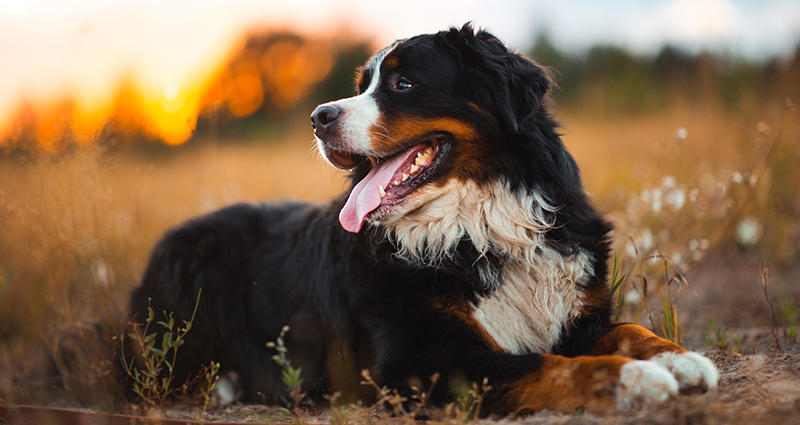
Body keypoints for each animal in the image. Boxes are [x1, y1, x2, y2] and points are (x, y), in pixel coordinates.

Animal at [126, 24, 720, 414]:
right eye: (363, 84)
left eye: (403, 84)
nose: (319, 117)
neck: (479, 228)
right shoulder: (418, 360)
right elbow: (545, 365)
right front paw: (632, 380)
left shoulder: (578, 315)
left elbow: (630, 330)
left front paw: (681, 360)